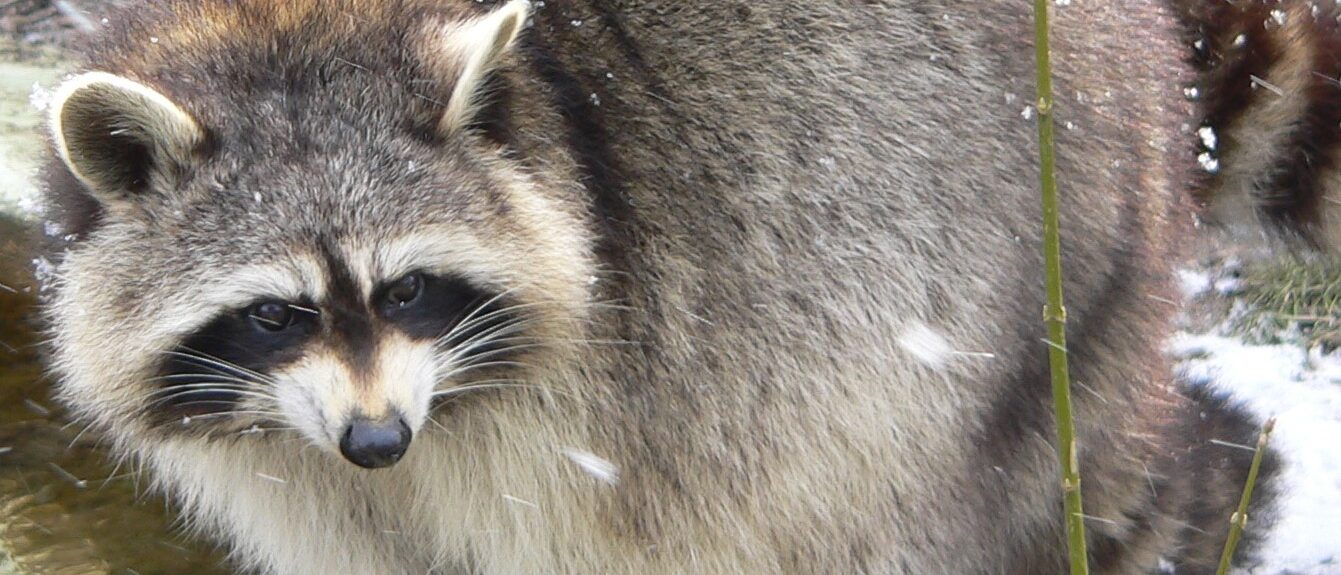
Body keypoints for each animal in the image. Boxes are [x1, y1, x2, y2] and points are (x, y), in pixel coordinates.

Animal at [36, 0, 1302, 573]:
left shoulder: (597, 409)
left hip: (977, 304)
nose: (378, 441)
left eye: (406, 292)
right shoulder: (314, 474)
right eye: (272, 314)